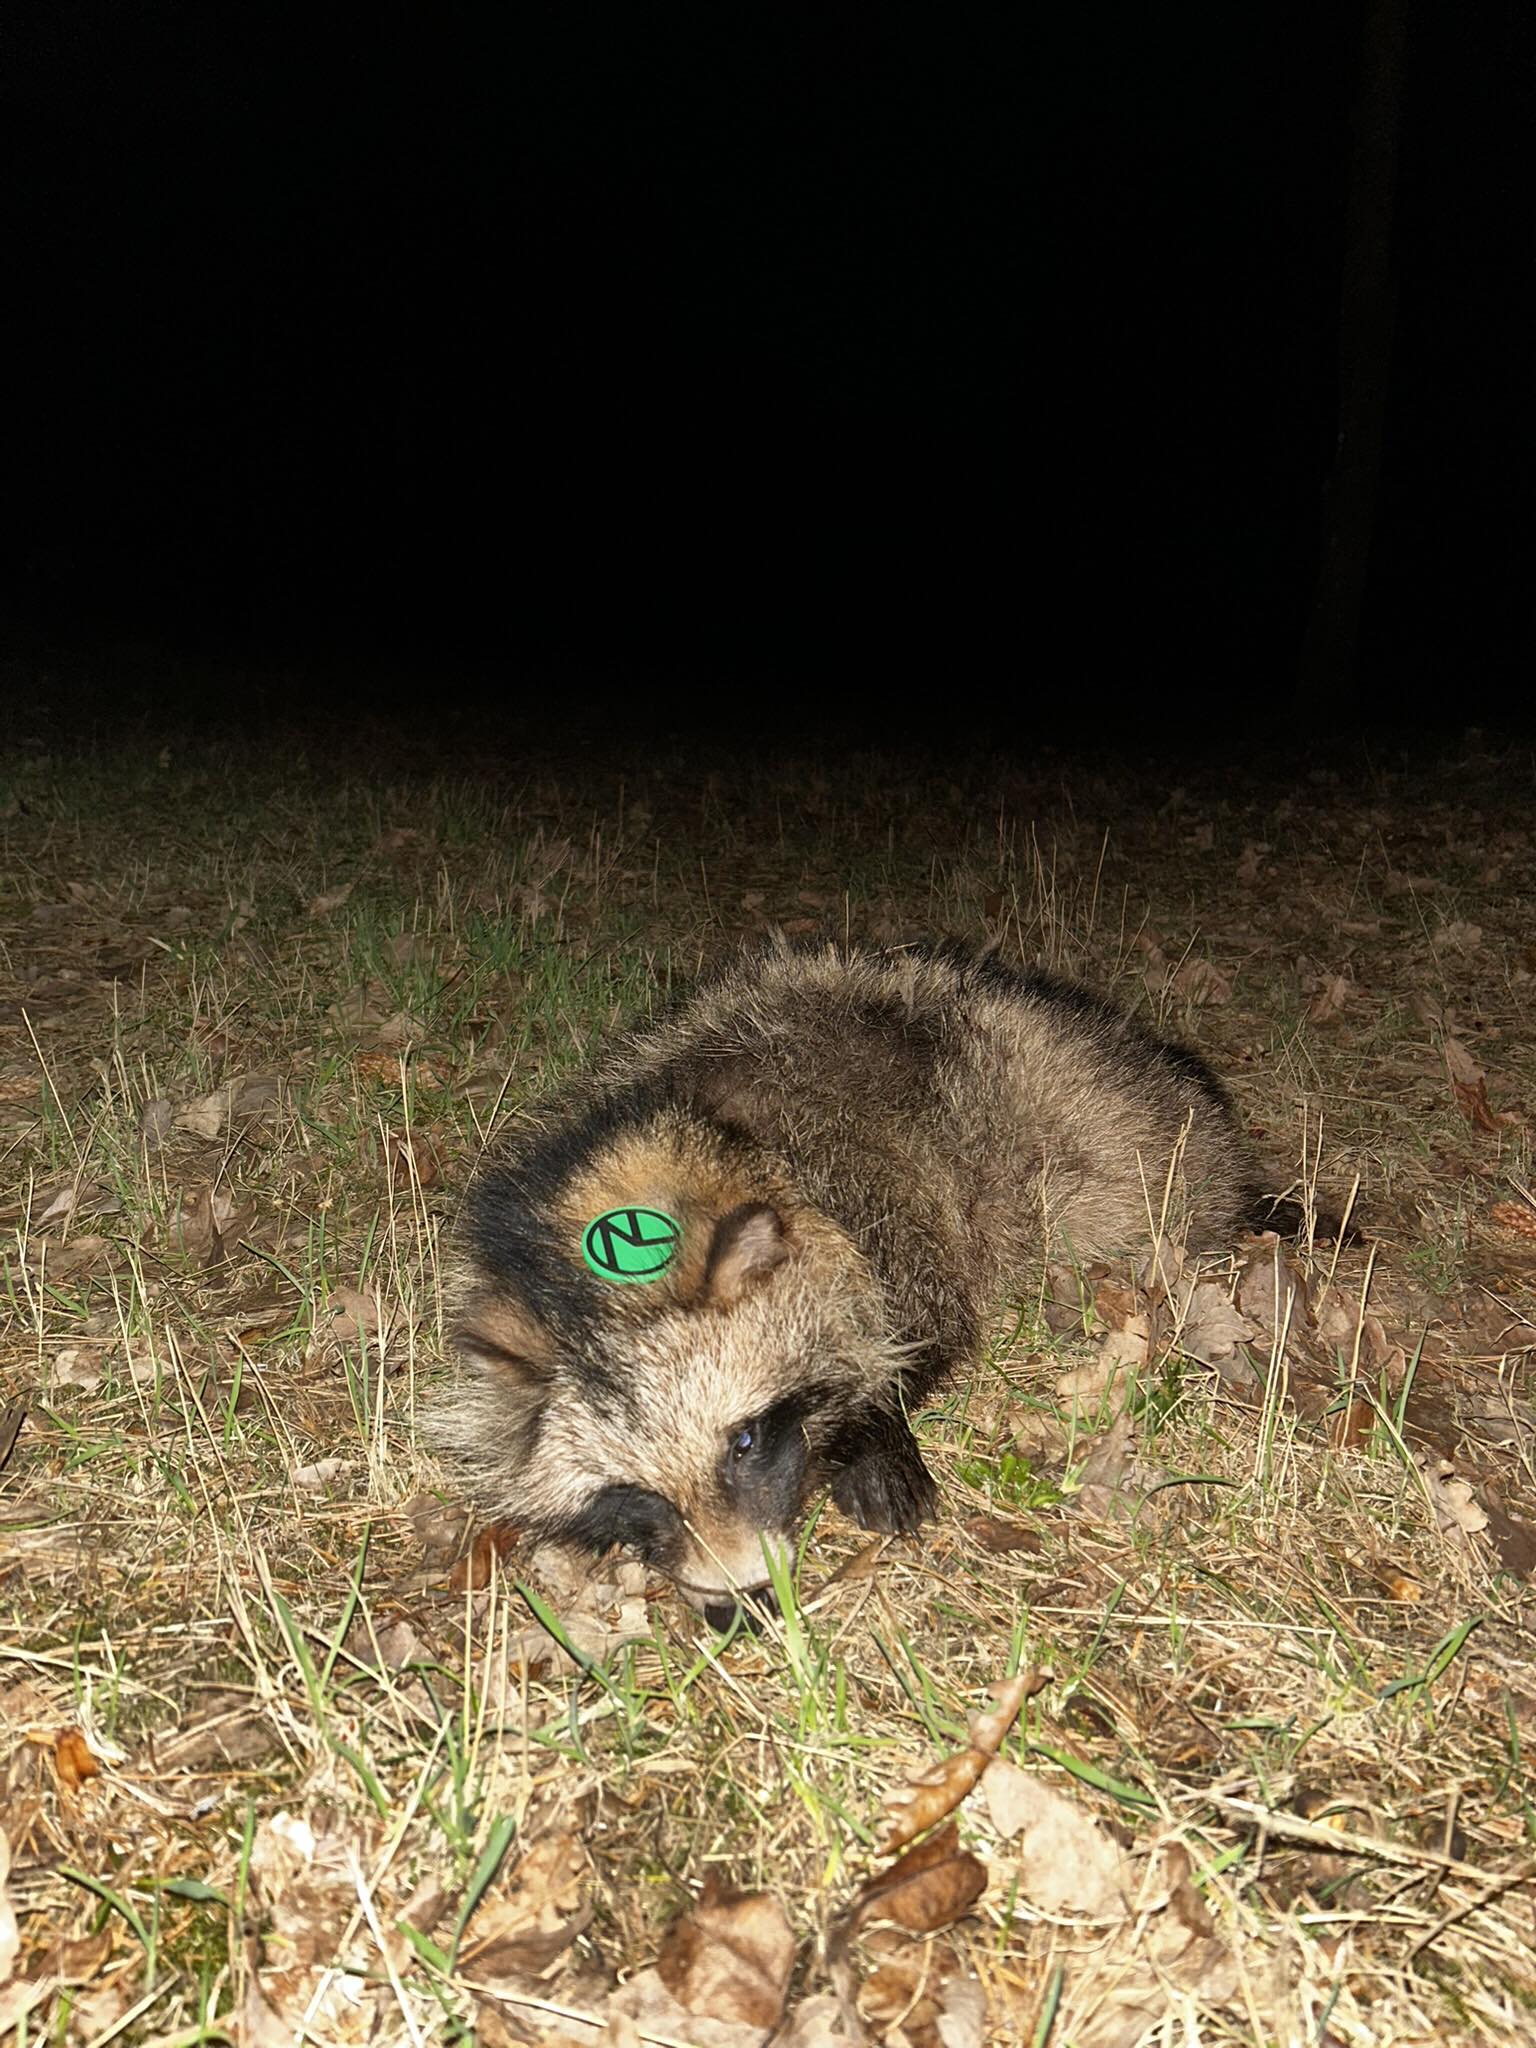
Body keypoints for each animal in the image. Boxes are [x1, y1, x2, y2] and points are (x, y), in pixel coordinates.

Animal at [435, 940, 1315, 1628]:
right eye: (633, 1493)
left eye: (744, 1442)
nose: (745, 1606)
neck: (708, 1139)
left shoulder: (879, 1191)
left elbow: (926, 1324)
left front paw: (873, 1422)